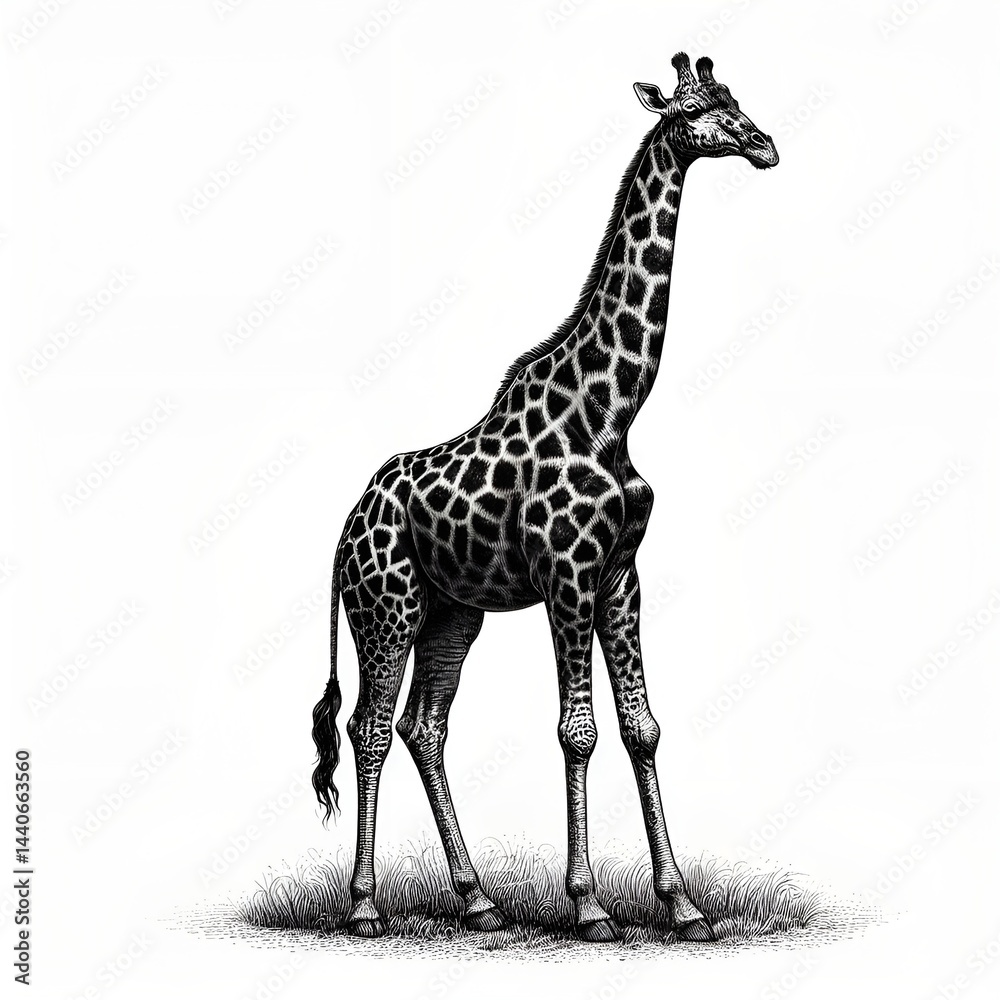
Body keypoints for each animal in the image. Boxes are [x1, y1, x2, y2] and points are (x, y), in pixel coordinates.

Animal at [312, 53, 778, 942]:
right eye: (696, 113)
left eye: (736, 100)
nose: (766, 145)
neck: (612, 409)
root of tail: (346, 527)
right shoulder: (567, 572)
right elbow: (578, 731)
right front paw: (591, 903)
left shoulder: (620, 575)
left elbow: (642, 727)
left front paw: (683, 905)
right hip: (384, 607)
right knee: (368, 728)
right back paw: (364, 905)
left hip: (453, 613)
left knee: (424, 727)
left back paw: (478, 898)